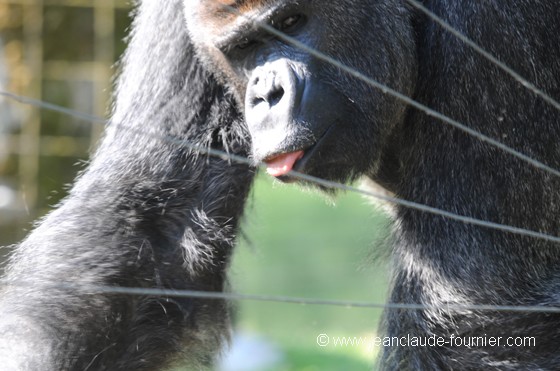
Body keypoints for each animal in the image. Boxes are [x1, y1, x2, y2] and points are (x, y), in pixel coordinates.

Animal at [1, 0, 560, 370]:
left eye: (292, 22)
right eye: (244, 47)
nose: (267, 94)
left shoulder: (487, 27)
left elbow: (478, 316)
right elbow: (153, 227)